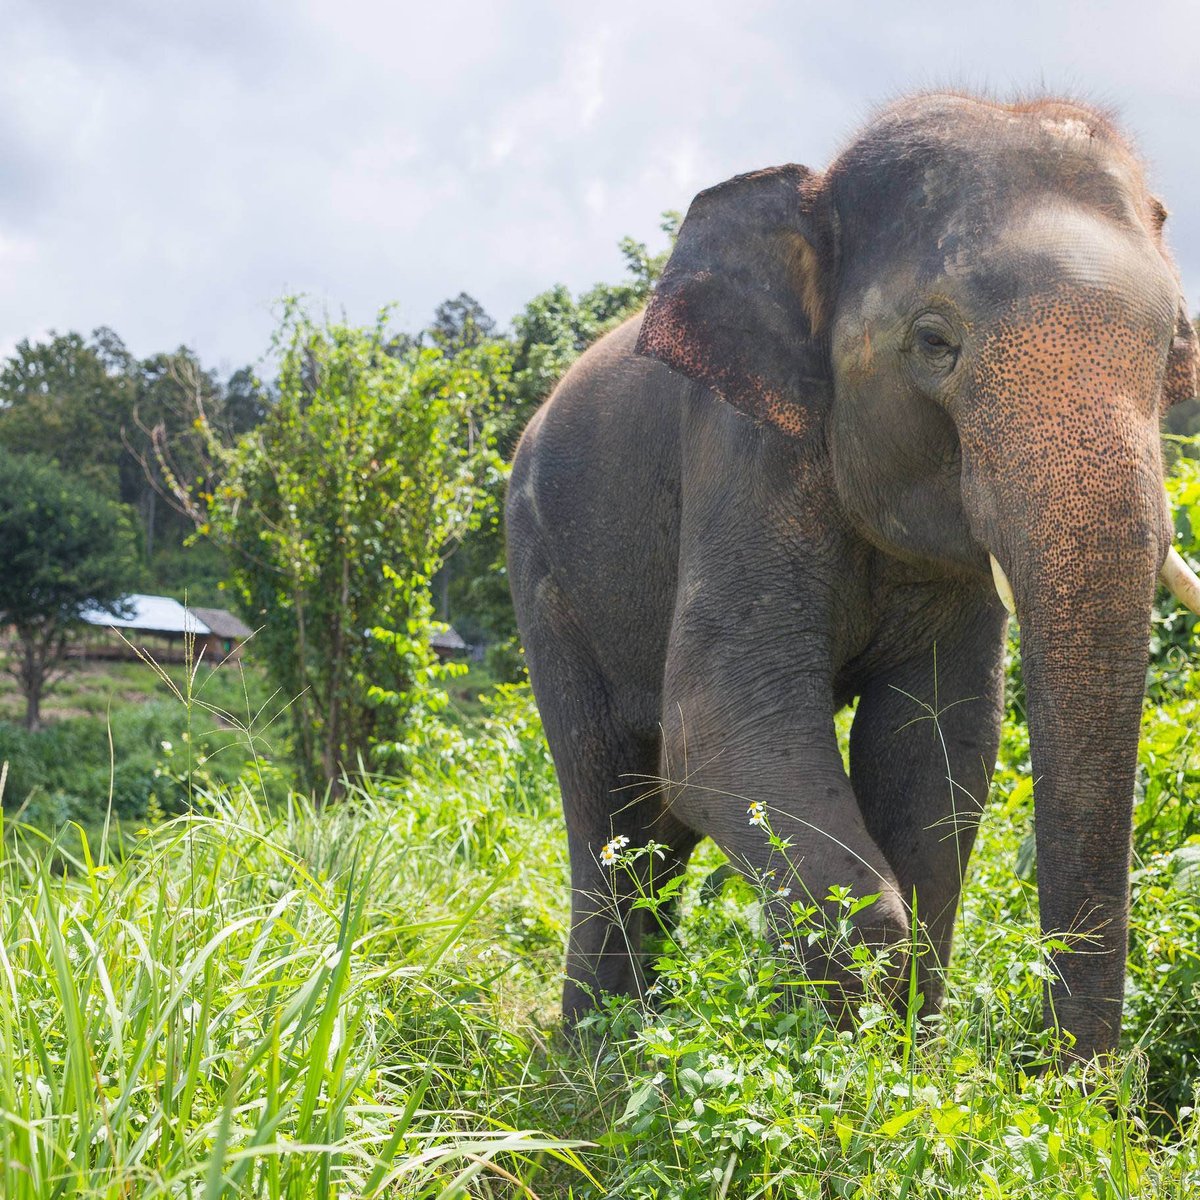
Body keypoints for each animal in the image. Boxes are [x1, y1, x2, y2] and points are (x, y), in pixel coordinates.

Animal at [504, 91, 1200, 1060]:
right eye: (934, 342)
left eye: (1175, 345)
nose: (1068, 1082)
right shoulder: (744, 452)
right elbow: (719, 731)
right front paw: (858, 1056)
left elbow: (937, 746)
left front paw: (913, 1056)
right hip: (543, 576)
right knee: (612, 795)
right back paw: (600, 1057)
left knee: (658, 828)